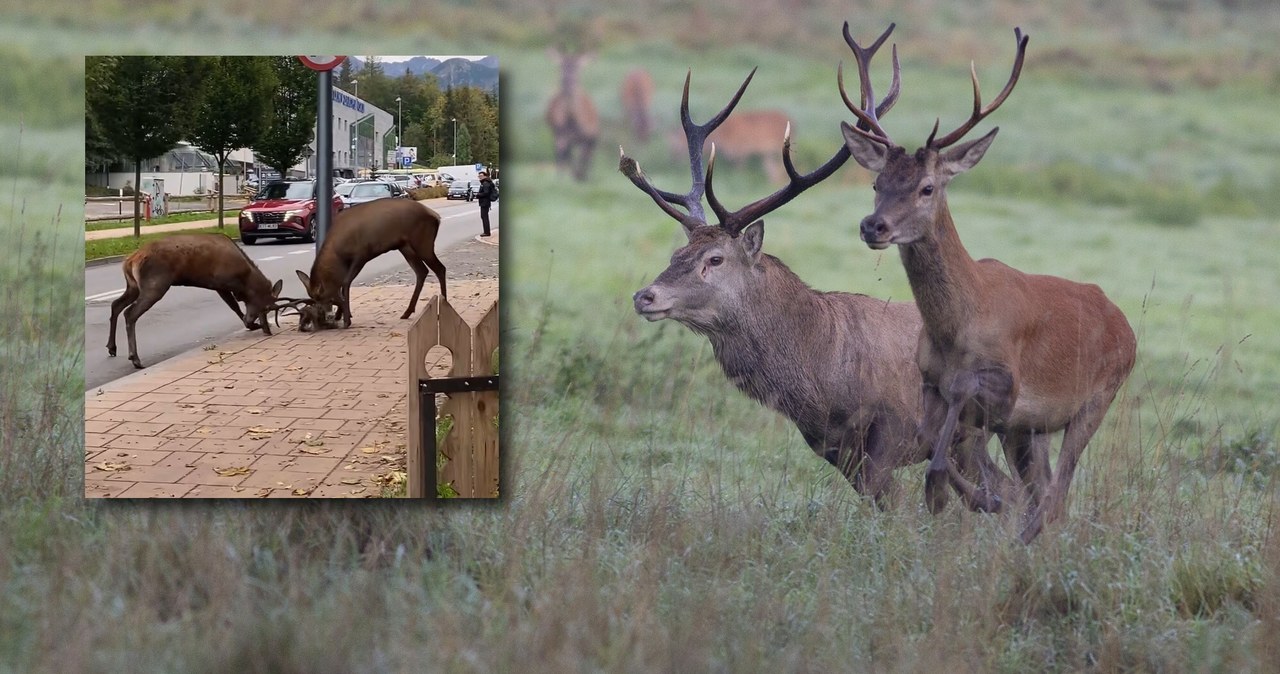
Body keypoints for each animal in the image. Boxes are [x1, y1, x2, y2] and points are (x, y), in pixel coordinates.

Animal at [106, 232, 293, 368]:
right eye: (266, 307)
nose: (268, 330)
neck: (245, 280)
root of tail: (130, 260)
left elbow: (235, 307)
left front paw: (253, 325)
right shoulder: (221, 283)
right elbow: (234, 307)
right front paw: (252, 325)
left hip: (133, 286)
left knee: (116, 304)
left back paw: (112, 347)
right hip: (155, 285)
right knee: (130, 313)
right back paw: (135, 358)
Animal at [293, 195, 448, 332]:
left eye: (320, 296)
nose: (323, 319)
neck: (338, 252)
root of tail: (437, 217)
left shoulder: (361, 254)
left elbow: (345, 282)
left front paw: (346, 320)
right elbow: (342, 284)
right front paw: (341, 315)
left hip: (423, 242)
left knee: (440, 268)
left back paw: (444, 304)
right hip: (405, 247)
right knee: (422, 271)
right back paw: (407, 312)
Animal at [542, 47, 596, 181]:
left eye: (578, 68)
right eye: (561, 66)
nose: (567, 81)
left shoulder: (590, 137)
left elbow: (584, 159)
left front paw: (582, 176)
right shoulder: (560, 134)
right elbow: (564, 157)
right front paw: (563, 178)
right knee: (563, 156)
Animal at [624, 25, 1013, 511]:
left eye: (714, 259)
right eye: (676, 255)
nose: (645, 295)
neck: (821, 379)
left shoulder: (891, 433)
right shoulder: (829, 446)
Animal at [844, 27, 1136, 542]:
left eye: (927, 187)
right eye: (877, 183)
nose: (872, 226)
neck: (956, 327)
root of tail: (1128, 327)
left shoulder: (1009, 384)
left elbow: (960, 401)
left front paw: (950, 493)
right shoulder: (929, 381)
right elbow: (928, 436)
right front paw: (973, 497)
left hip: (1098, 398)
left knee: (1056, 493)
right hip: (1030, 430)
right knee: (1047, 493)